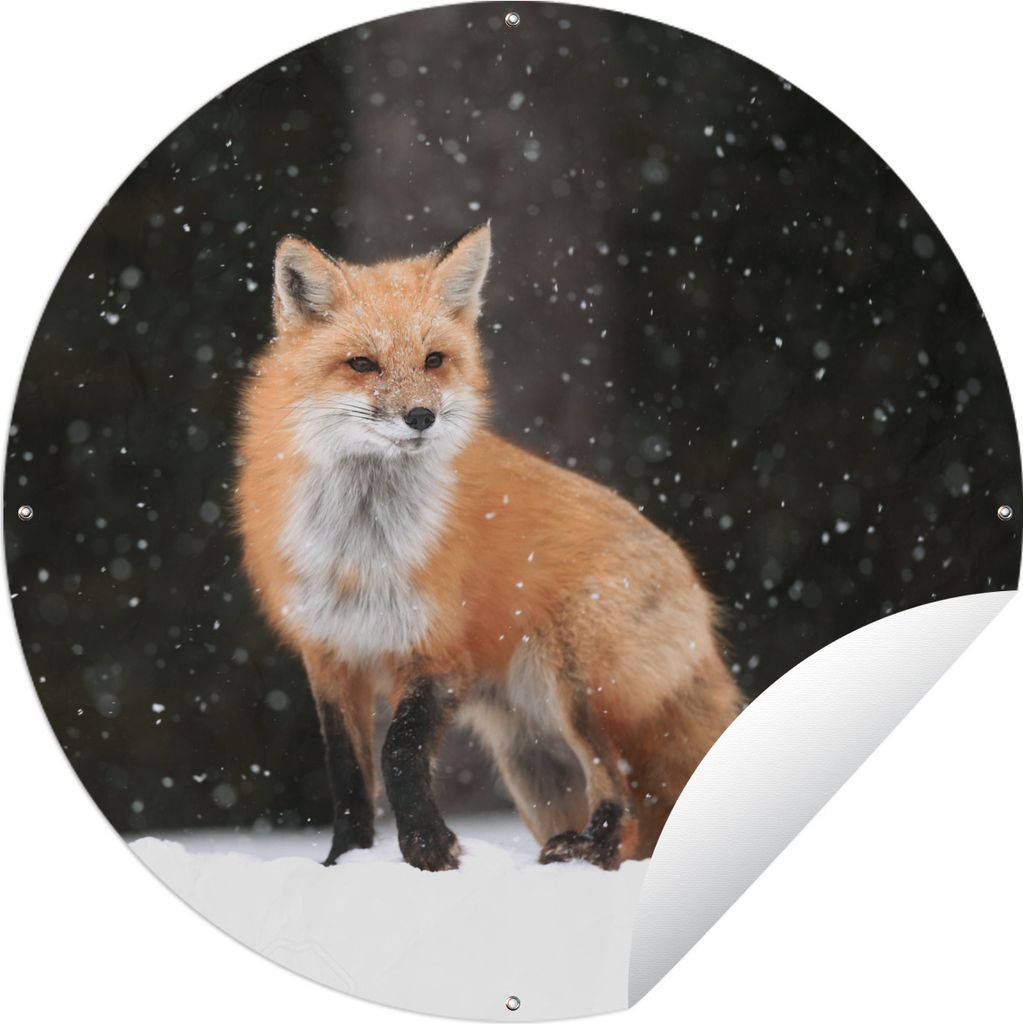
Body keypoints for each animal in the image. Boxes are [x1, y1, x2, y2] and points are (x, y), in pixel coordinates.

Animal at [236, 222, 743, 872]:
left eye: (433, 360)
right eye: (362, 364)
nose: (421, 416)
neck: (363, 553)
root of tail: (699, 593)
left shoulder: (439, 651)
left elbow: (399, 752)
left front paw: (428, 849)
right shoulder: (330, 654)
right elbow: (347, 773)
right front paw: (343, 862)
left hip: (579, 691)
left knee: (622, 794)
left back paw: (585, 847)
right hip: (535, 764)